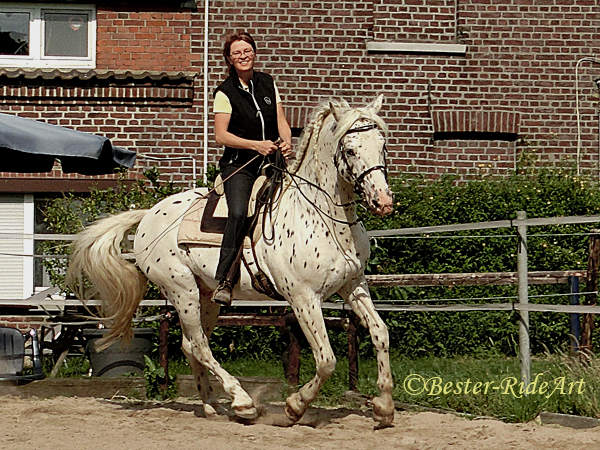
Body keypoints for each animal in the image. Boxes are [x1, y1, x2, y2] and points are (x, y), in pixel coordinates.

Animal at [65, 94, 396, 426]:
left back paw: (214, 405)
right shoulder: (304, 298)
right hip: (181, 290)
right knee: (199, 345)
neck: (322, 216)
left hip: (207, 295)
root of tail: (149, 214)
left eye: (383, 144)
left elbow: (380, 333)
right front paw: (295, 406)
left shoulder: (353, 285)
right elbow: (326, 359)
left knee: (192, 345)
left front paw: (384, 406)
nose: (383, 201)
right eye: (350, 149)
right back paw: (242, 402)